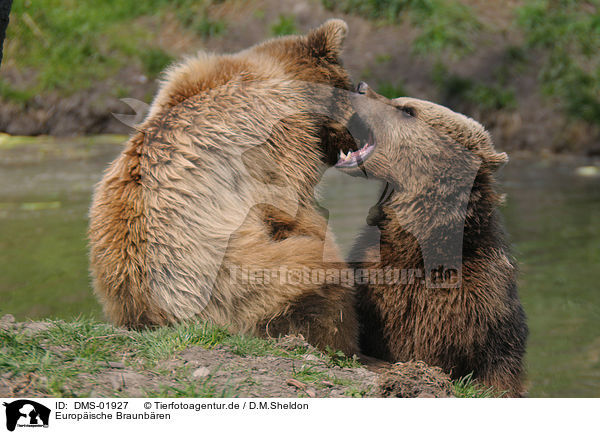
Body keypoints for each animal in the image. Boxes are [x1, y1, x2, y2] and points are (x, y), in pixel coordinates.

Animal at [342, 82, 528, 396]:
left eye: (407, 109)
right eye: (400, 100)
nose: (360, 87)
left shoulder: (482, 304)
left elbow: (496, 369)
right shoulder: (370, 277)